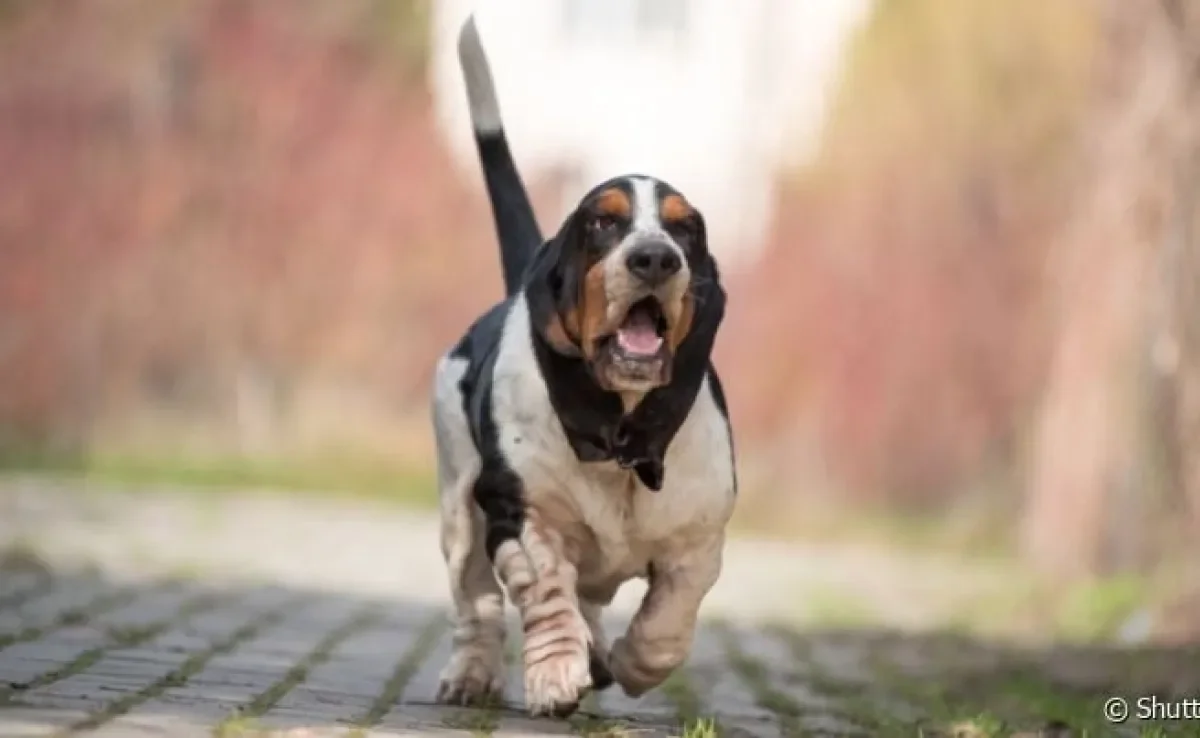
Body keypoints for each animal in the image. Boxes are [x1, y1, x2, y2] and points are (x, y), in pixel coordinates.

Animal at [432, 15, 729, 720]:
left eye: (686, 230)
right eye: (602, 223)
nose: (655, 258)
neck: (619, 430)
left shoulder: (699, 543)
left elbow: (667, 624)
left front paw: (629, 663)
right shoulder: (520, 517)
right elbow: (546, 598)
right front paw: (557, 674)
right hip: (458, 509)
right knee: (478, 607)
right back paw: (472, 677)